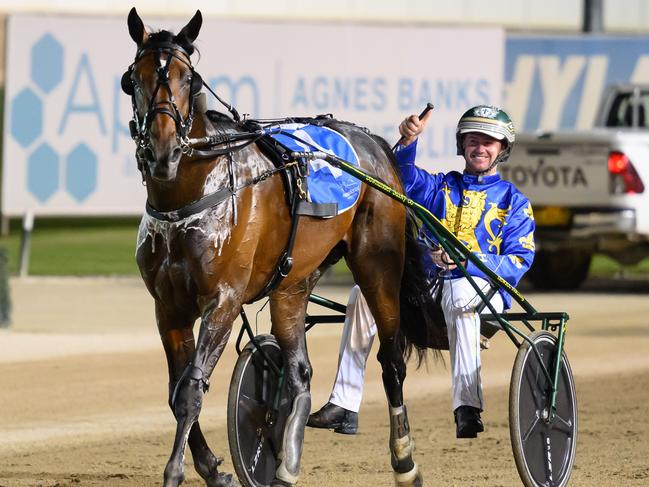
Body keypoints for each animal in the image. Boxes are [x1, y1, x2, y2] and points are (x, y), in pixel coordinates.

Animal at [123, 7, 440, 487]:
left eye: (188, 78)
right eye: (134, 79)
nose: (163, 152)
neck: (188, 194)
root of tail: (376, 146)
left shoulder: (223, 299)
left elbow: (191, 390)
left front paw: (176, 472)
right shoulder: (168, 307)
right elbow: (176, 389)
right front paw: (213, 467)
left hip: (378, 265)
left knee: (391, 359)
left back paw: (405, 460)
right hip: (293, 283)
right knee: (298, 372)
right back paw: (285, 464)